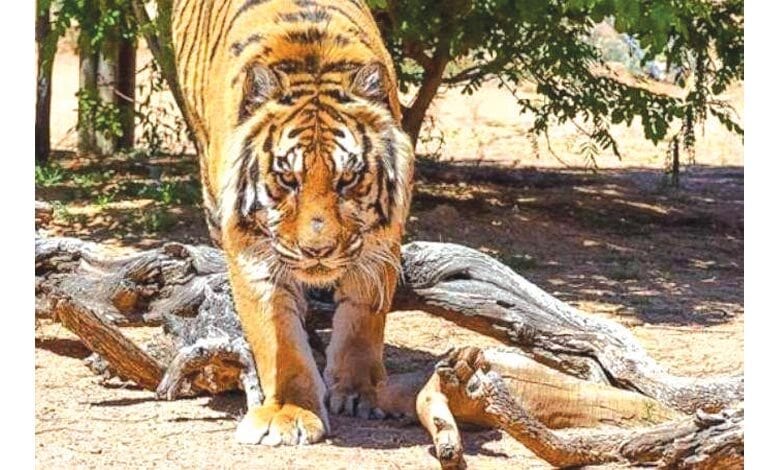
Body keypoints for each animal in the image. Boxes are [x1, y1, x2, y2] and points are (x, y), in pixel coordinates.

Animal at [171, 0, 414, 445]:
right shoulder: (252, 250)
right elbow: (276, 335)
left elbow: (362, 320)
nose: (317, 251)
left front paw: (360, 393)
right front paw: (289, 411)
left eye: (348, 178)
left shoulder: (380, 244)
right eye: (287, 178)